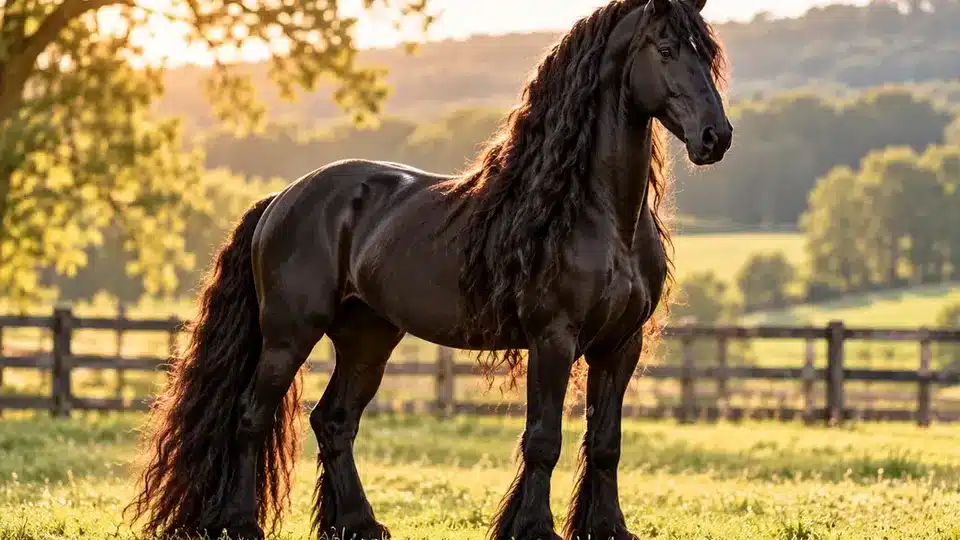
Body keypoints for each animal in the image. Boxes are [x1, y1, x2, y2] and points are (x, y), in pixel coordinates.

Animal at [127, 0, 731, 539]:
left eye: (708, 54)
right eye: (667, 49)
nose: (715, 137)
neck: (598, 215)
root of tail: (283, 199)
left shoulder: (620, 345)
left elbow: (605, 443)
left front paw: (606, 529)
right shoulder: (553, 338)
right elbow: (543, 440)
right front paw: (533, 529)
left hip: (367, 337)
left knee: (334, 422)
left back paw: (358, 525)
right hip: (287, 335)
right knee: (251, 417)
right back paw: (239, 524)